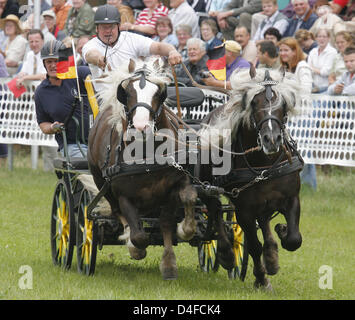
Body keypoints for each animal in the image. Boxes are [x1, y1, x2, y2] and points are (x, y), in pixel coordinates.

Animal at [86, 58, 197, 280]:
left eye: (158, 92)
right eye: (127, 92)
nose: (140, 128)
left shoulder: (174, 186)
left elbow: (174, 216)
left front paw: (170, 260)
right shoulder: (123, 195)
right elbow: (139, 236)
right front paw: (135, 247)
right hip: (102, 183)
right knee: (117, 212)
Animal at [199, 68, 304, 290]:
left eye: (283, 104)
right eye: (255, 103)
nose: (271, 139)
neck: (265, 163)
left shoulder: (291, 199)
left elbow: (294, 239)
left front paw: (282, 231)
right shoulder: (244, 210)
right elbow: (254, 246)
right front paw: (261, 279)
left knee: (263, 220)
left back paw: (271, 254)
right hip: (207, 188)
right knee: (215, 210)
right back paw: (226, 253)